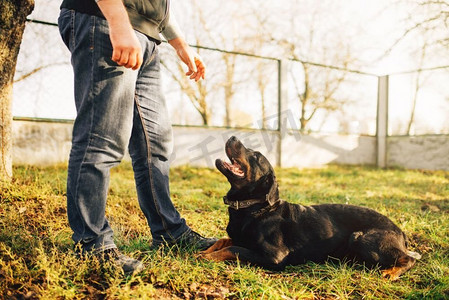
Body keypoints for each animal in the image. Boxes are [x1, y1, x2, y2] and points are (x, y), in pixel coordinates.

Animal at [200, 136, 420, 282]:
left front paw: (207, 257)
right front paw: (205, 250)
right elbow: (224, 240)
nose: (233, 136)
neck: (254, 208)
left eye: (256, 156)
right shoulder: (239, 238)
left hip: (361, 238)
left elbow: (233, 248)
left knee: (409, 259)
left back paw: (391, 272)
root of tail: (400, 232)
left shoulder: (274, 256)